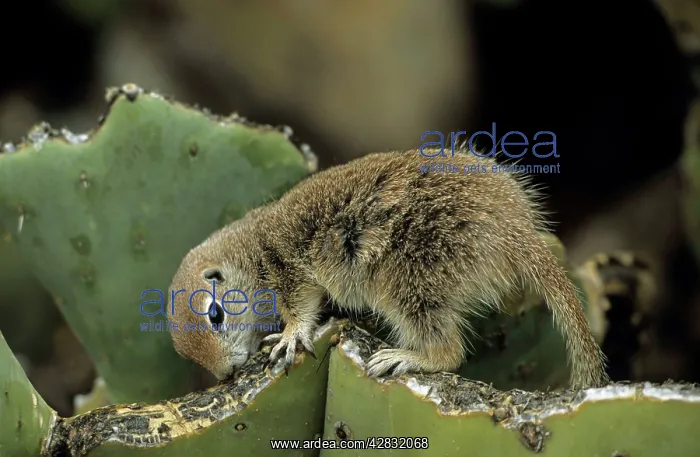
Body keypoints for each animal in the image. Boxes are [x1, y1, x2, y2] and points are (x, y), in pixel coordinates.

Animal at [167, 149, 610, 389]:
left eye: (215, 314)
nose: (227, 371)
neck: (251, 249)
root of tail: (514, 228)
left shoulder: (288, 269)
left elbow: (302, 308)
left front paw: (289, 336)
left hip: (409, 283)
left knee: (449, 351)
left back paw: (407, 357)